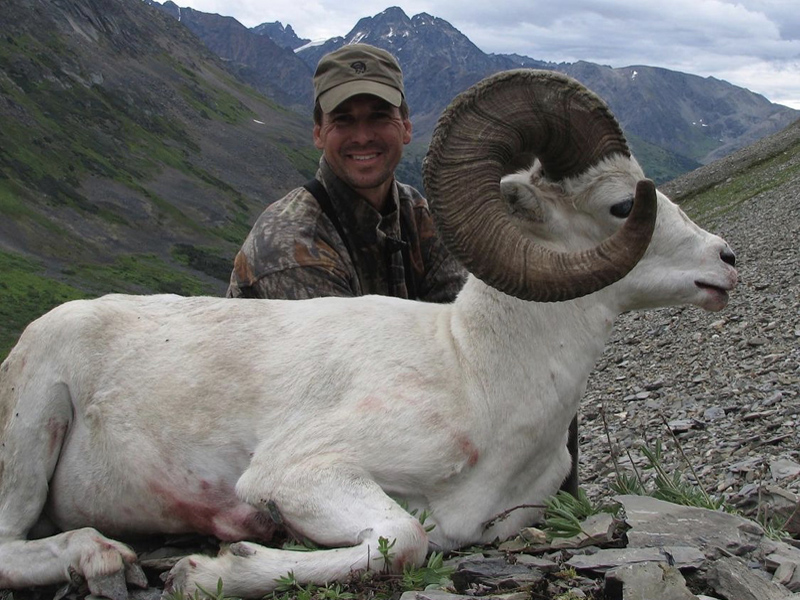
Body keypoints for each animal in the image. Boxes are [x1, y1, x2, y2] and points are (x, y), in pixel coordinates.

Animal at [0, 69, 737, 599]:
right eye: (622, 204)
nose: (727, 260)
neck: (476, 373)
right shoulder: (302, 472)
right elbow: (405, 540)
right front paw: (209, 571)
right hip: (31, 430)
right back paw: (99, 556)